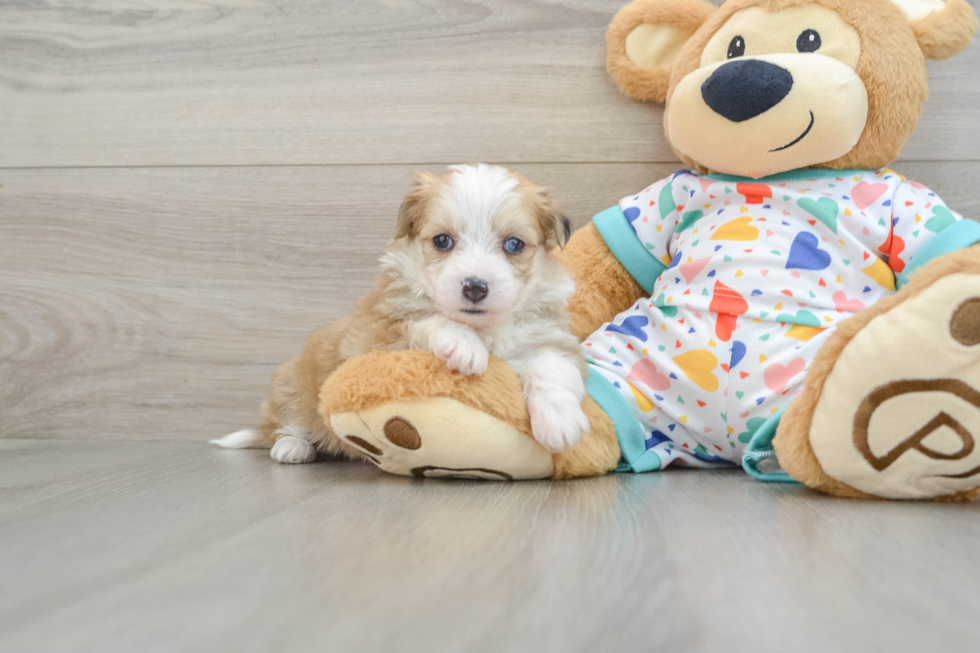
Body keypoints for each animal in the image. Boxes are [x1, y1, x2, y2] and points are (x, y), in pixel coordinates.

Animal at [213, 163, 588, 464]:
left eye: (513, 245)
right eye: (442, 241)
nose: (475, 287)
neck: (482, 327)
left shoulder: (549, 336)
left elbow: (552, 365)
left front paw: (560, 421)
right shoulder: (370, 337)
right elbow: (422, 320)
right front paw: (464, 346)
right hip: (291, 384)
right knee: (283, 423)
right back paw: (292, 447)